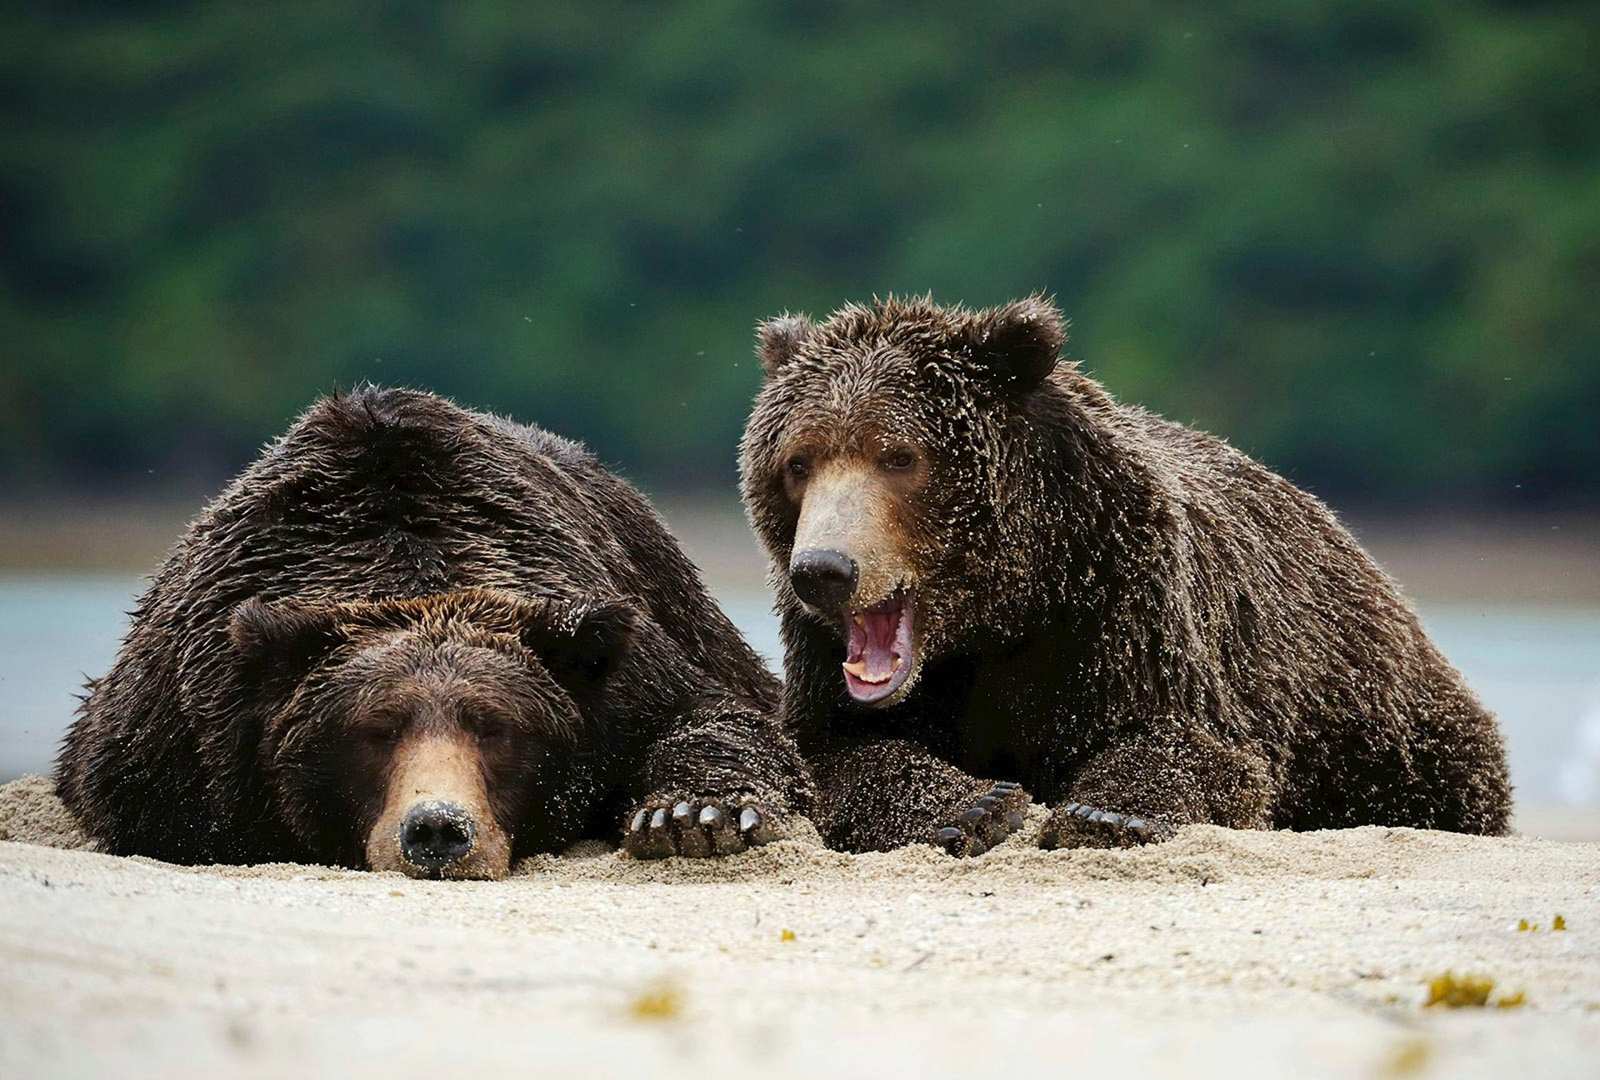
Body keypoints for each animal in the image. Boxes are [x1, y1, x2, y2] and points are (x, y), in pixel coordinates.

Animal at [57, 386, 812, 878]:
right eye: (375, 729)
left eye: (497, 727)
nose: (438, 830)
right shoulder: (189, 724)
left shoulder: (617, 670)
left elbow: (711, 717)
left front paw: (692, 817)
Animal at [738, 294, 1511, 855]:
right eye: (799, 462)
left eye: (898, 456)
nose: (825, 569)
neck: (1005, 608)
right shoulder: (825, 658)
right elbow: (828, 752)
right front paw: (973, 804)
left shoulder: (1122, 606)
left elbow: (1195, 746)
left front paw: (1106, 814)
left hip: (1379, 723)